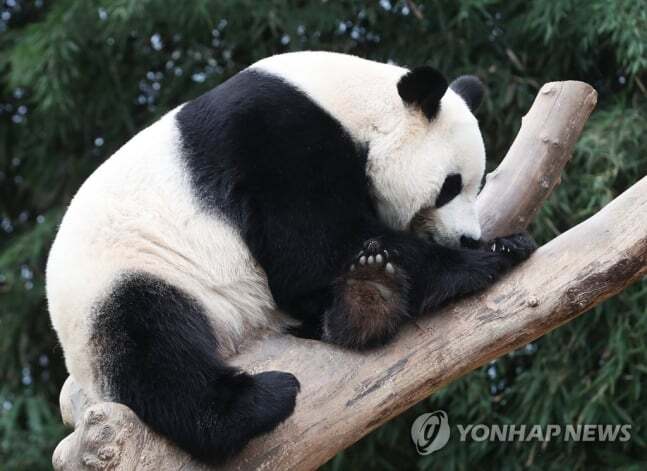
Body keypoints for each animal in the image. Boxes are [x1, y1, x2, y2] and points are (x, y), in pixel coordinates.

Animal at [45, 50, 536, 460]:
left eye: (478, 182)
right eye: (450, 185)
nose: (468, 238)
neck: (351, 103)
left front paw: (506, 243)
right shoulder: (275, 141)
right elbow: (314, 247)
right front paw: (484, 260)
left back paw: (365, 303)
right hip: (125, 276)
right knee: (154, 344)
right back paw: (261, 398)